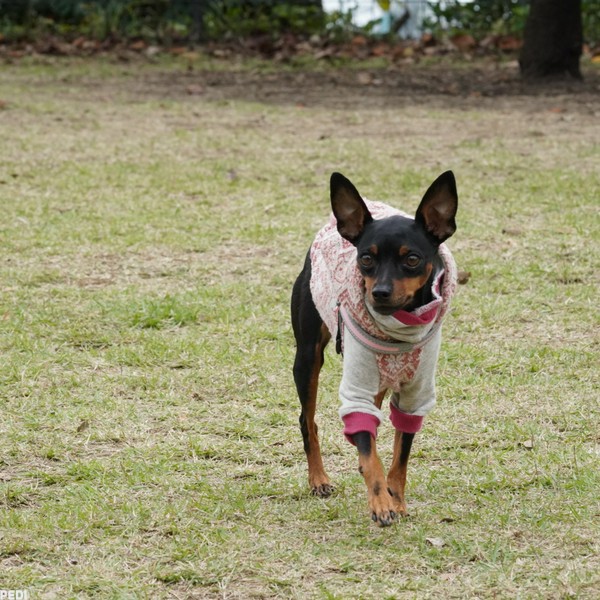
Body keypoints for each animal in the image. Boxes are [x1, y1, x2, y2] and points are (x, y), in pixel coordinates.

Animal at [292, 171, 460, 528]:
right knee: (308, 419)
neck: (398, 329)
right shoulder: (355, 389)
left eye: (412, 259)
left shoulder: (414, 396)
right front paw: (381, 502)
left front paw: (396, 499)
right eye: (366, 259)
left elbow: (399, 455)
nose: (380, 292)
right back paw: (319, 479)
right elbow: (370, 455)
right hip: (308, 357)